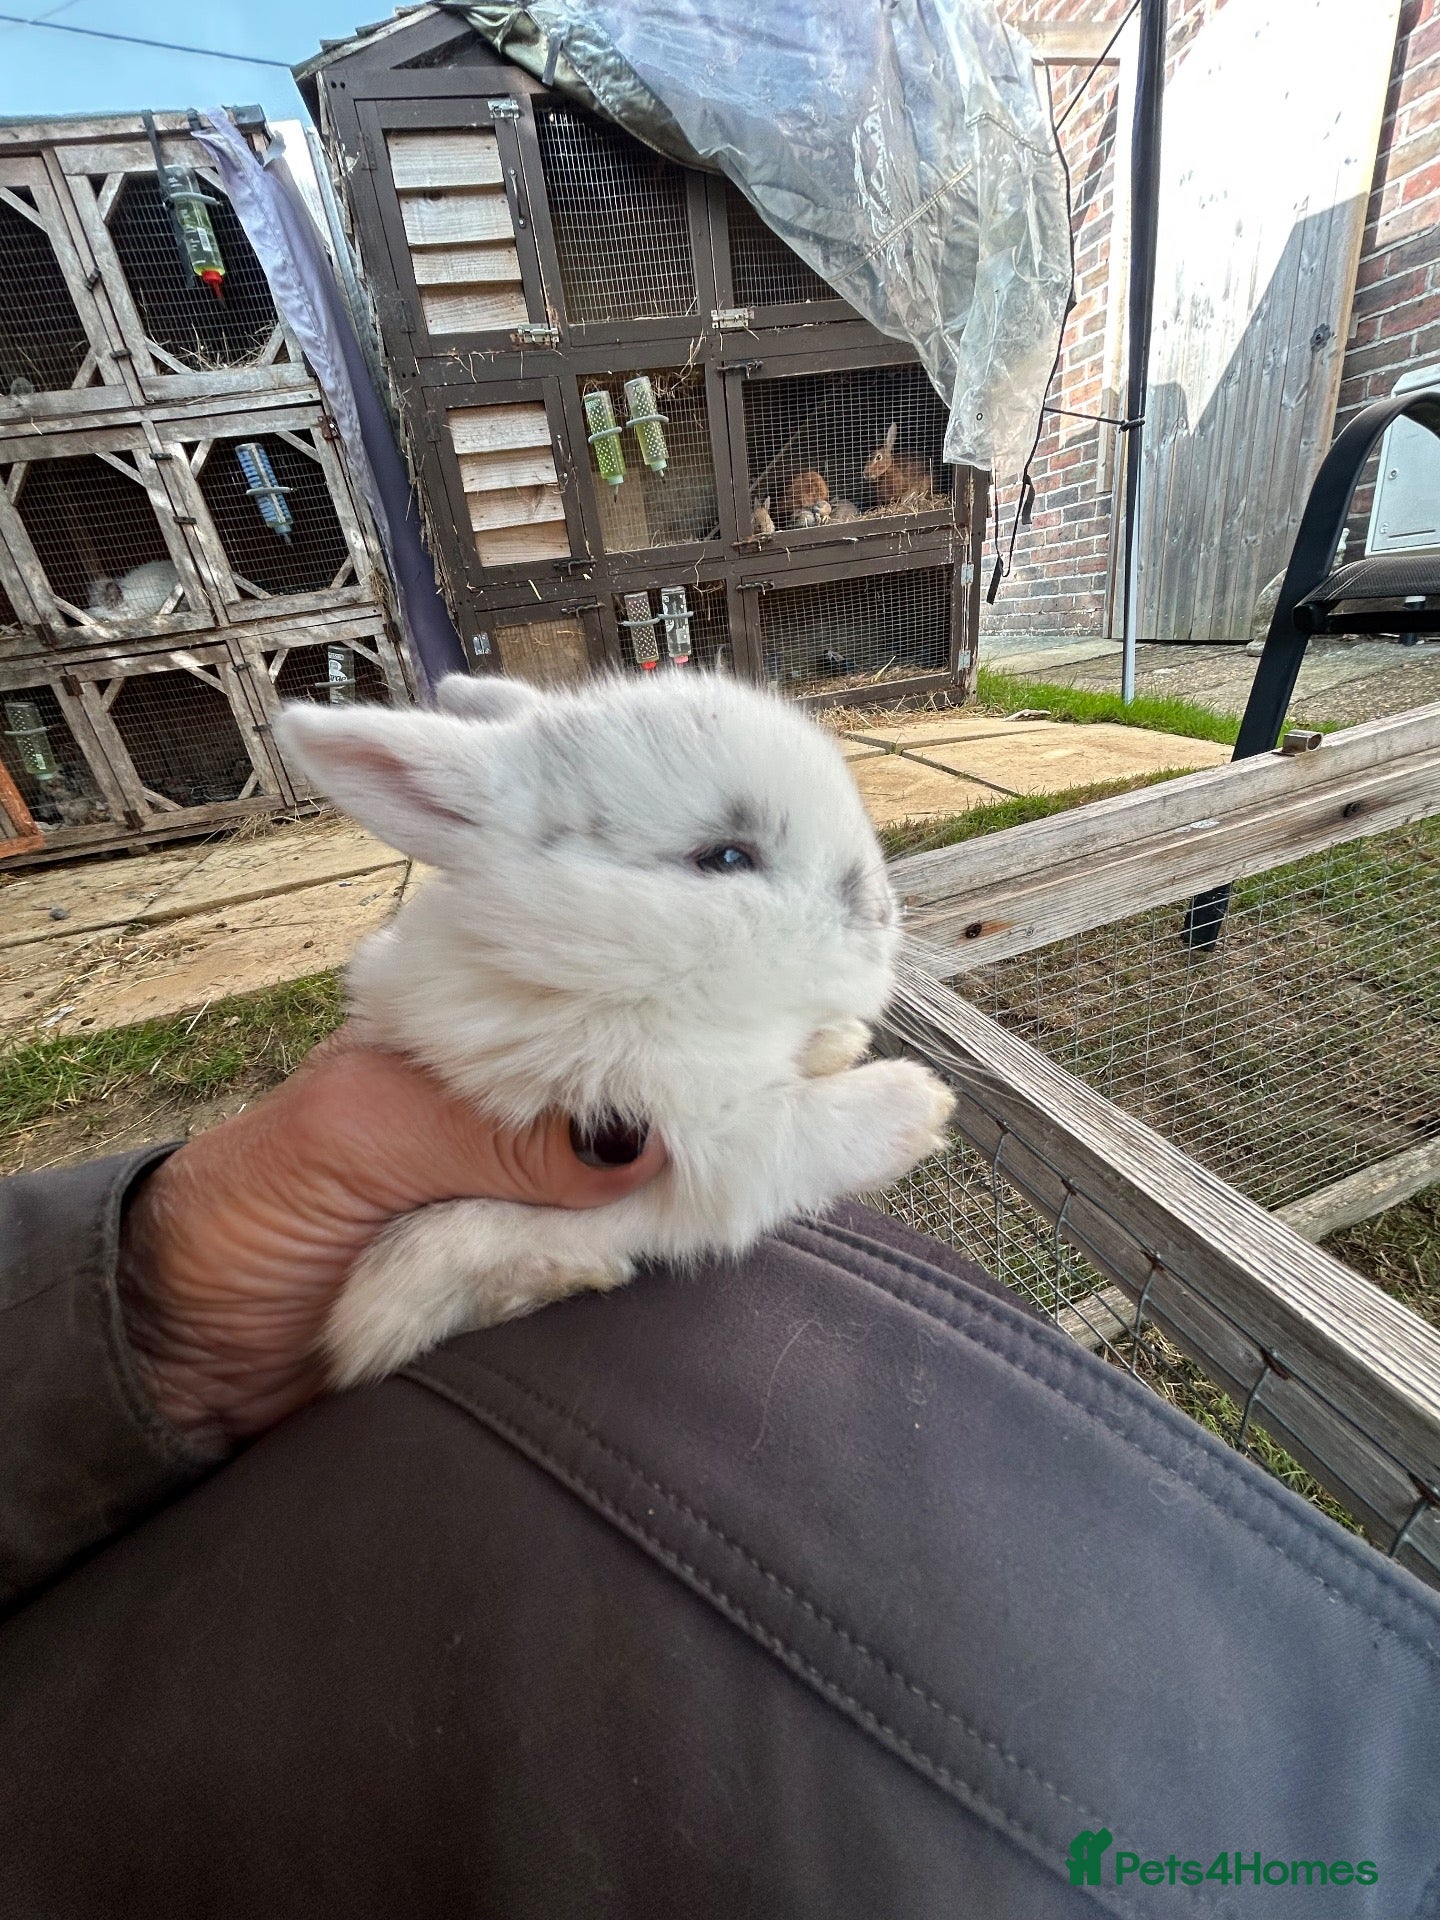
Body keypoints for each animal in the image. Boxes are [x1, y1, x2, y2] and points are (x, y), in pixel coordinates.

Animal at [277, 671, 954, 1388]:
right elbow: (803, 1128)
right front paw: (920, 1103)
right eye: (726, 857)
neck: (602, 972)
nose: (882, 915)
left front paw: (839, 1043)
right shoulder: (697, 1138)